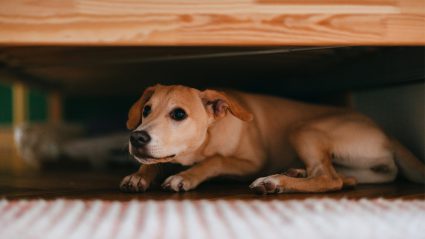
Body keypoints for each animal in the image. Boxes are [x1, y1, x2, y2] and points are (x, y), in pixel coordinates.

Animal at [119, 85, 424, 193]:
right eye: (146, 110)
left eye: (179, 114)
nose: (137, 137)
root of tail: (388, 134)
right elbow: (155, 161)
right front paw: (140, 175)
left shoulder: (251, 163)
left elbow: (216, 160)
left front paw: (186, 176)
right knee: (342, 177)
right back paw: (293, 172)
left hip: (303, 129)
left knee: (329, 179)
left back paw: (275, 182)